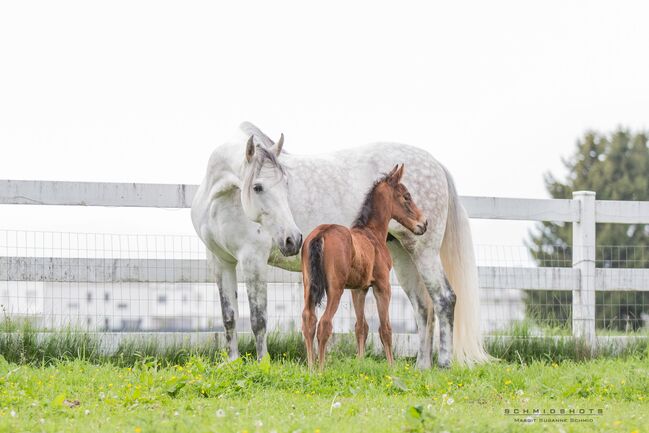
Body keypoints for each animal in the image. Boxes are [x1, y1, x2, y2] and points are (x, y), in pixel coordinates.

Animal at [300, 164, 430, 370]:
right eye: (407, 196)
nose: (423, 223)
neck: (372, 234)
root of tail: (322, 233)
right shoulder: (382, 286)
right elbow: (385, 329)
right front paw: (391, 366)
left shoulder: (358, 289)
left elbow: (361, 326)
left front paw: (360, 363)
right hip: (335, 289)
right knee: (325, 323)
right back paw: (321, 369)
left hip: (308, 287)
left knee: (308, 320)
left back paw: (311, 367)